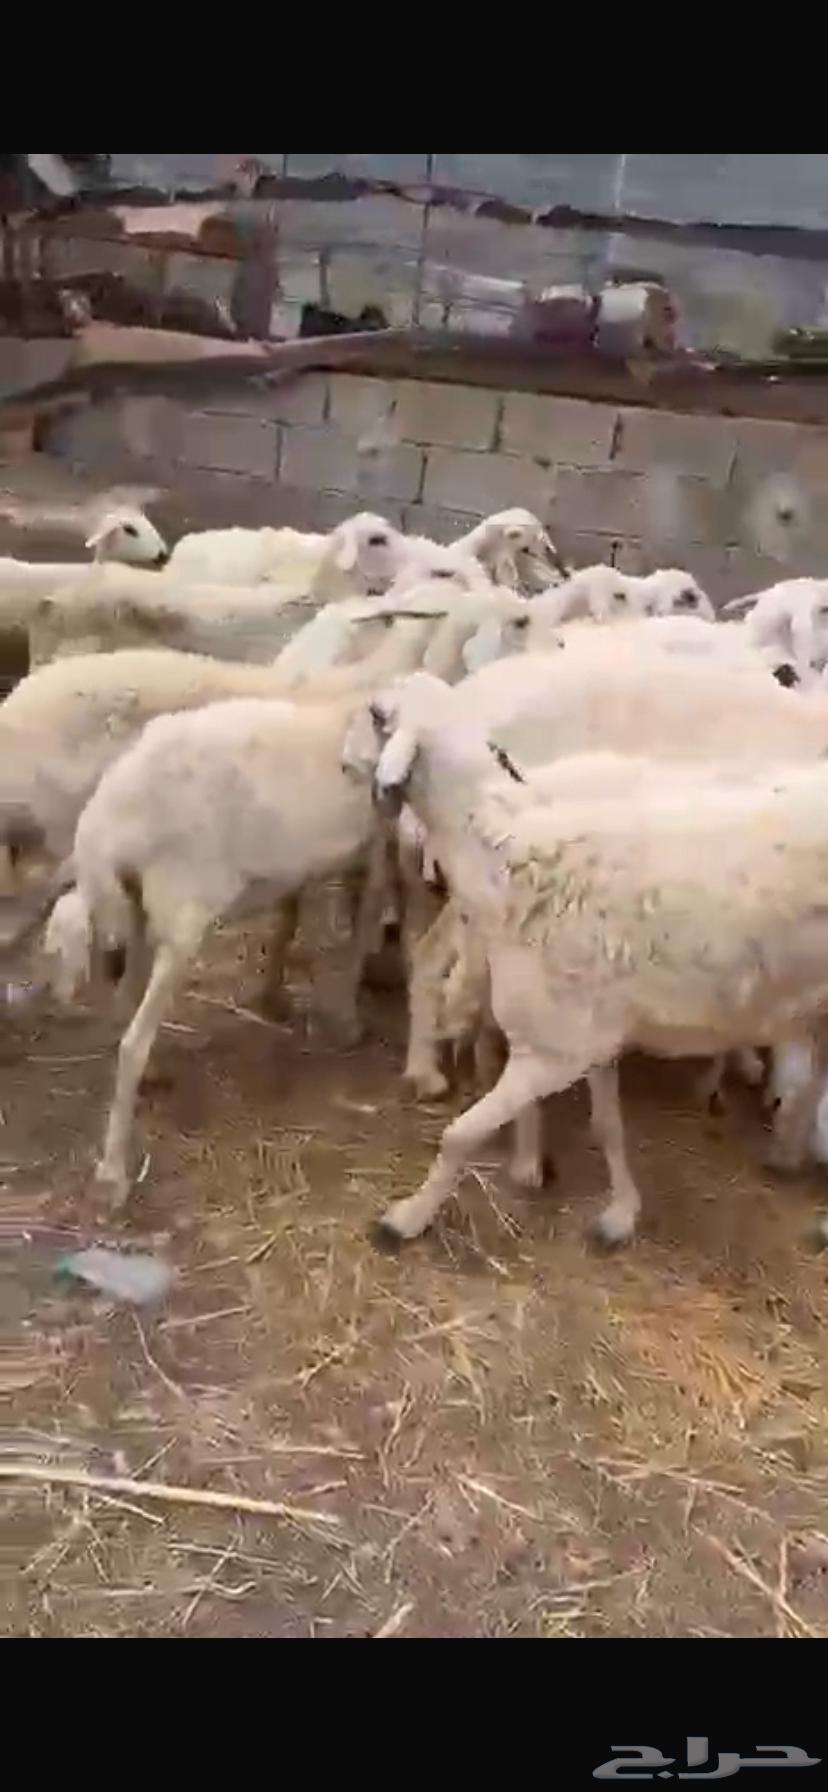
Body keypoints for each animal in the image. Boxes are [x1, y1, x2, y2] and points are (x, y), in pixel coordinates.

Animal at [44, 690, 396, 1205]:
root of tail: (109, 823)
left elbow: (293, 913)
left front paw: (278, 995)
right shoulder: (380, 843)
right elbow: (364, 915)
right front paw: (346, 1020)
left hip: (140, 907)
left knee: (126, 1002)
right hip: (183, 912)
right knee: (132, 1044)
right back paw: (113, 1173)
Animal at [352, 672, 828, 1244]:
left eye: (378, 716)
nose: (345, 764)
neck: (506, 858)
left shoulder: (551, 1052)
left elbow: (458, 1136)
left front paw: (406, 1218)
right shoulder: (593, 1040)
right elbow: (608, 1125)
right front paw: (621, 1211)